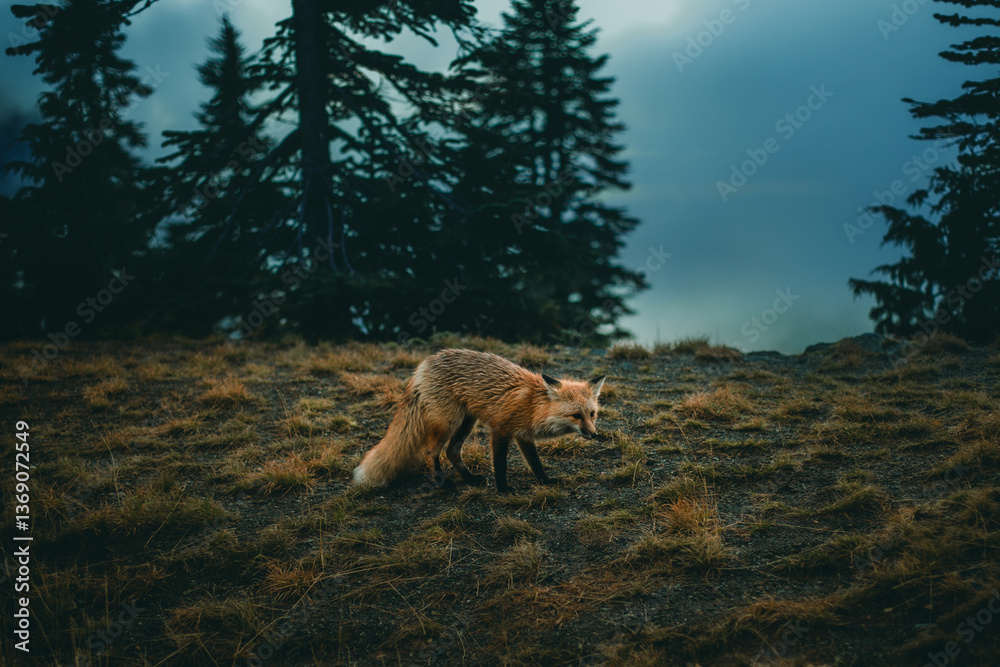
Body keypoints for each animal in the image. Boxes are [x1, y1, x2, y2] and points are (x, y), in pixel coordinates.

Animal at [352, 348, 606, 494]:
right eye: (576, 416)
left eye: (592, 414)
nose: (595, 434)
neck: (533, 405)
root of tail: (423, 366)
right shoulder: (501, 429)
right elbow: (500, 464)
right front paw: (503, 490)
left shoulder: (523, 435)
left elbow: (535, 463)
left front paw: (545, 481)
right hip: (449, 422)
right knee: (430, 451)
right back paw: (443, 482)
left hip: (467, 422)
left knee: (452, 451)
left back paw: (470, 479)